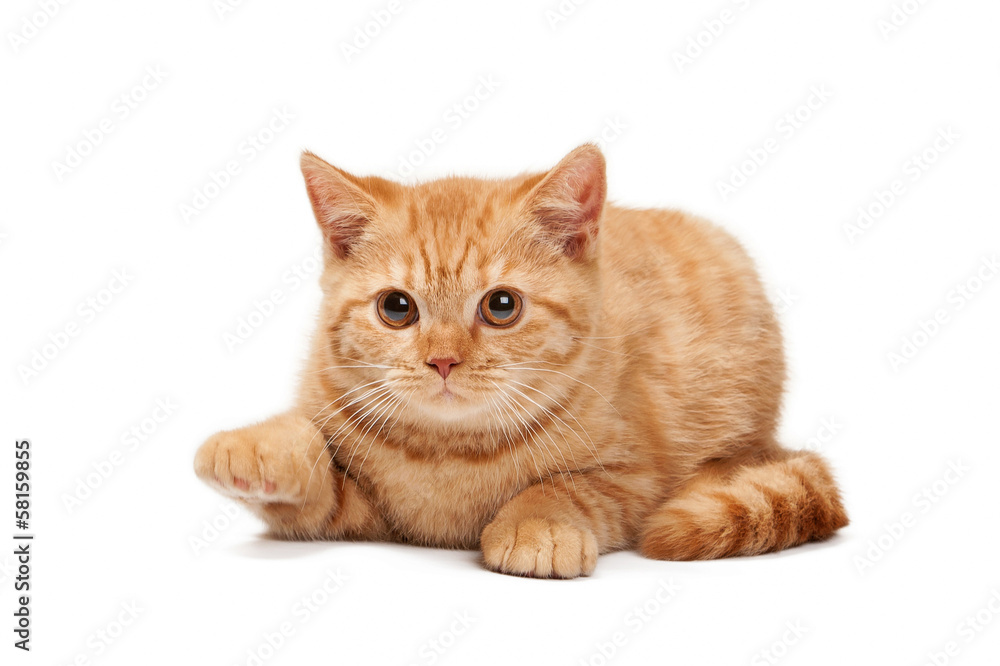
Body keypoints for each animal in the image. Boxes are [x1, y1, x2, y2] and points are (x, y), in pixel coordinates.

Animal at [193, 144, 844, 576]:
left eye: (501, 306)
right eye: (396, 308)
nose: (443, 361)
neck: (449, 454)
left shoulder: (634, 475)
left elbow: (566, 486)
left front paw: (538, 525)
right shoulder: (353, 509)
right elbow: (311, 468)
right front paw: (255, 446)